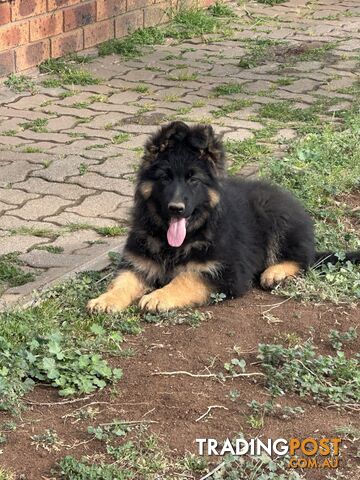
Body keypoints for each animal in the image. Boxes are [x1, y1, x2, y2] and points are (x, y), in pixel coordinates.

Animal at [88, 122, 360, 314]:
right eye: (165, 177)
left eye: (193, 180)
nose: (176, 208)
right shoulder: (137, 263)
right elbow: (121, 282)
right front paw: (106, 299)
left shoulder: (227, 273)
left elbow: (187, 278)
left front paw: (158, 296)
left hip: (274, 216)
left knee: (302, 259)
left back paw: (275, 272)